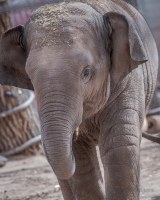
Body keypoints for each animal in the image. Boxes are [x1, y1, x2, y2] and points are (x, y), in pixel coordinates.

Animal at [0, 0, 158, 200]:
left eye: (86, 72)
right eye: (29, 76)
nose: (76, 131)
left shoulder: (128, 82)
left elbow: (121, 144)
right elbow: (81, 160)